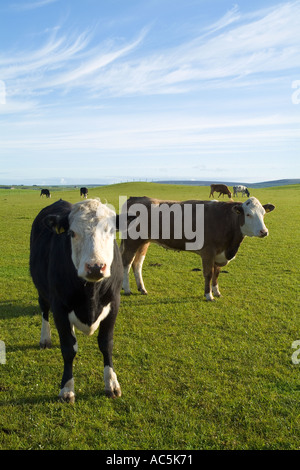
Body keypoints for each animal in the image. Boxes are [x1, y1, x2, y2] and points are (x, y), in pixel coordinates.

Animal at [29, 196, 123, 402]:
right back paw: (45, 338)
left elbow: (106, 344)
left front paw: (111, 383)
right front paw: (66, 388)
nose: (95, 267)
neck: (91, 295)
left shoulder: (113, 303)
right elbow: (68, 348)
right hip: (42, 290)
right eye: (71, 233)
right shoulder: (59, 307)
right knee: (44, 311)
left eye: (112, 231)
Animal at [120, 196, 276, 302]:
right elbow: (208, 273)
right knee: (126, 263)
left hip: (143, 242)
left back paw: (142, 289)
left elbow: (216, 273)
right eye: (248, 214)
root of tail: (136, 198)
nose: (264, 232)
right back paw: (127, 289)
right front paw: (208, 295)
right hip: (132, 241)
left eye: (263, 213)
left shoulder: (220, 254)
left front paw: (217, 292)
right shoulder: (208, 252)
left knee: (137, 264)